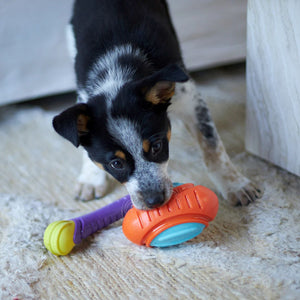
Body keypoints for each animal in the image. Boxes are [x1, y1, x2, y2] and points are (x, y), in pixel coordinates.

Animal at [53, 0, 262, 210]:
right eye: (116, 164)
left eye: (157, 147)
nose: (155, 201)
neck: (118, 71)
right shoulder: (84, 94)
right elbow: (85, 147)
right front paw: (91, 179)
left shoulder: (190, 100)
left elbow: (212, 145)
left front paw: (235, 185)